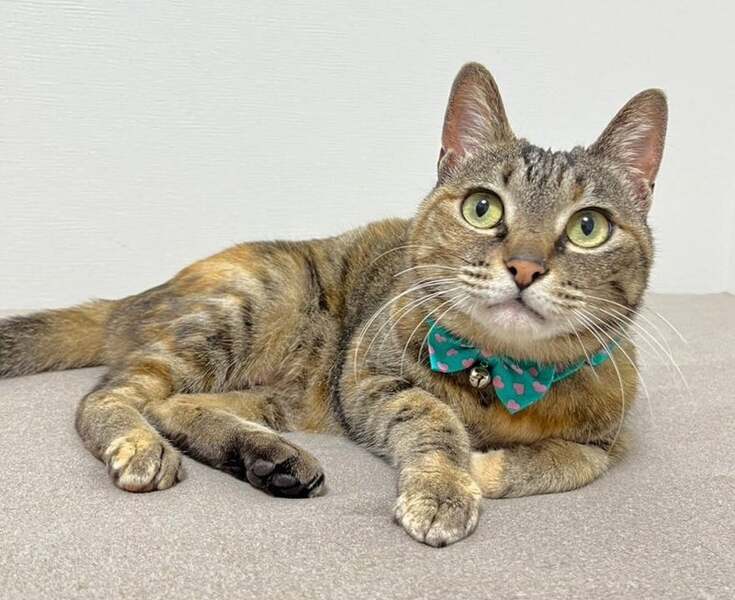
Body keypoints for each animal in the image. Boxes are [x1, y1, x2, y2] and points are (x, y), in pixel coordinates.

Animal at [0, 63, 667, 547]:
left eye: (587, 227)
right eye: (483, 208)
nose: (526, 266)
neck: (498, 380)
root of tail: (141, 297)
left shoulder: (608, 438)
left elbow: (570, 462)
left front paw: (484, 470)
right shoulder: (367, 379)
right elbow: (432, 415)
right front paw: (448, 482)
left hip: (280, 391)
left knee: (177, 406)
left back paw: (271, 459)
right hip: (246, 316)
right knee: (114, 395)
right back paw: (142, 445)